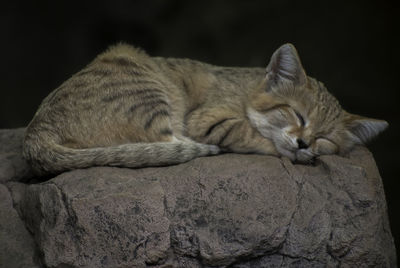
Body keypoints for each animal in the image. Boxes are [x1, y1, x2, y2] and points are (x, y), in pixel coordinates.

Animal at [21, 43, 388, 175]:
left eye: (325, 138)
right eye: (298, 115)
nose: (305, 142)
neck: (245, 91)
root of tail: (35, 134)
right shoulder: (207, 120)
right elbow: (252, 136)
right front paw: (291, 153)